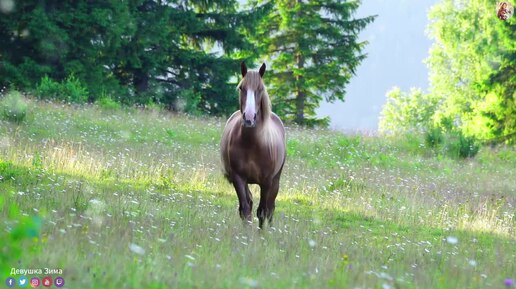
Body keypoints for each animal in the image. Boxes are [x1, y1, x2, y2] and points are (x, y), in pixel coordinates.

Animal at [220, 61, 286, 227]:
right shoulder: (238, 178)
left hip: (276, 180)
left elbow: (262, 211)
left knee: (270, 207)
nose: (249, 118)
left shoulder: (267, 182)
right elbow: (245, 208)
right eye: (241, 88)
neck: (252, 144)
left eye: (260, 89)